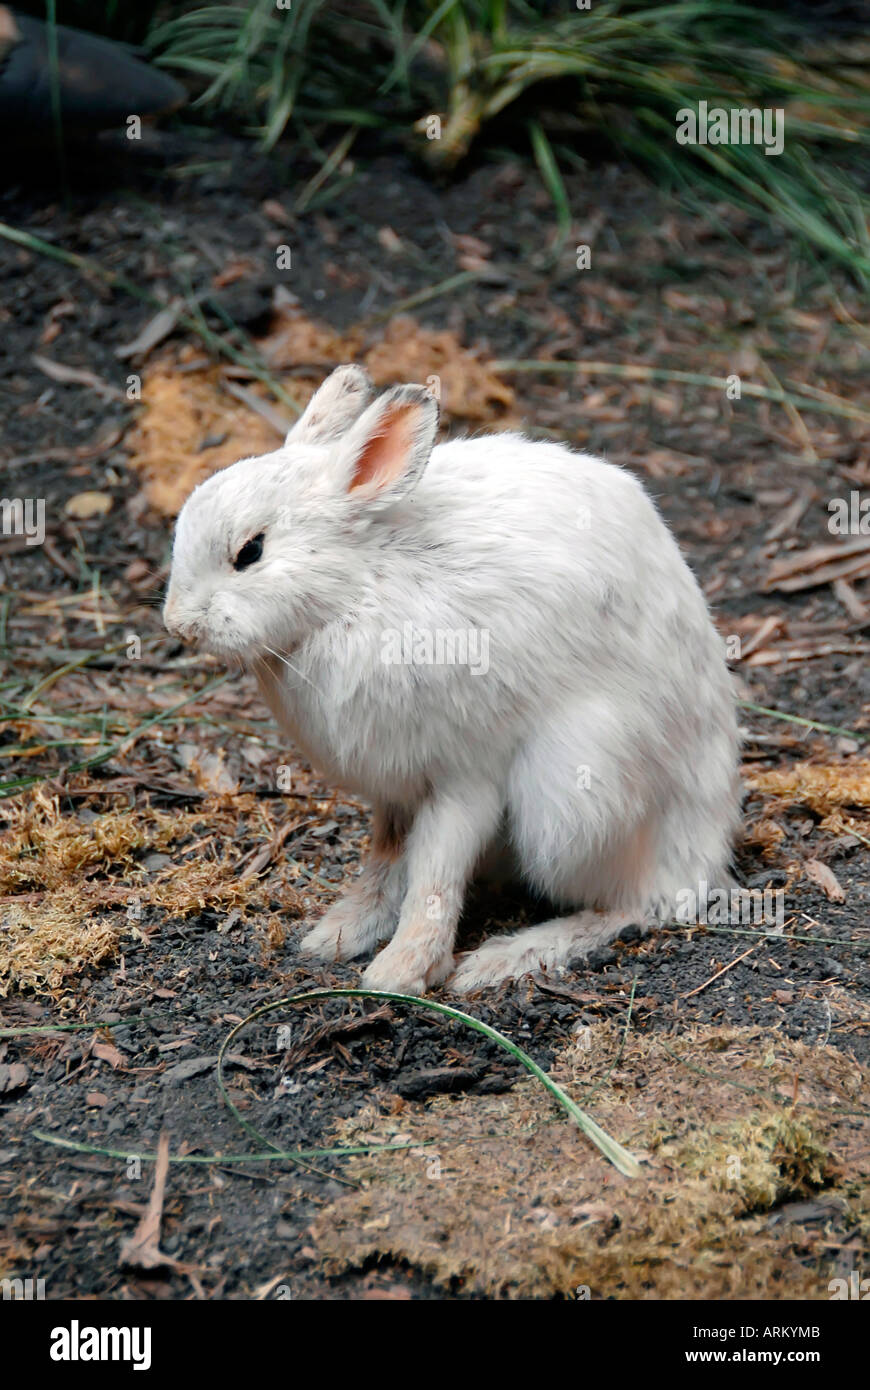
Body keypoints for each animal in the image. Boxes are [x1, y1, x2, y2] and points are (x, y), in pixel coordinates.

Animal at [164, 363, 741, 995]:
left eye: (250, 551)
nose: (179, 625)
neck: (358, 589)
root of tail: (707, 845)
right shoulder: (395, 791)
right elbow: (388, 858)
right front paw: (340, 934)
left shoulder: (466, 775)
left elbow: (434, 874)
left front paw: (401, 972)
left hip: (576, 796)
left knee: (637, 904)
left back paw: (510, 957)